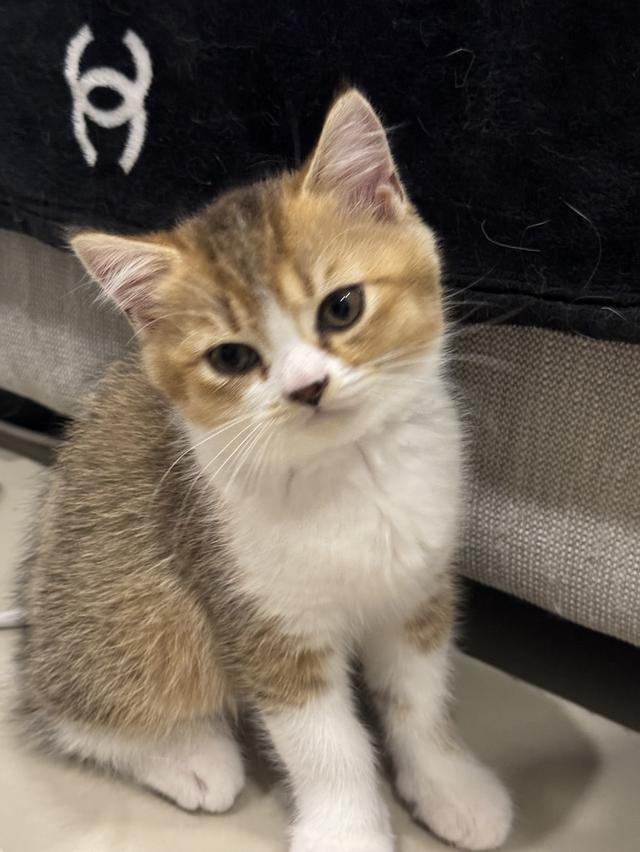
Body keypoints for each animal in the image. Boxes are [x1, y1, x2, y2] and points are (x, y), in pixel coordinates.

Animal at [12, 90, 512, 848]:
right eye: (231, 357)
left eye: (343, 306)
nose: (307, 387)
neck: (348, 473)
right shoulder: (263, 620)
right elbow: (326, 746)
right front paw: (348, 832)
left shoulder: (415, 593)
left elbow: (417, 701)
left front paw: (449, 786)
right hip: (140, 605)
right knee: (73, 706)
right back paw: (191, 758)